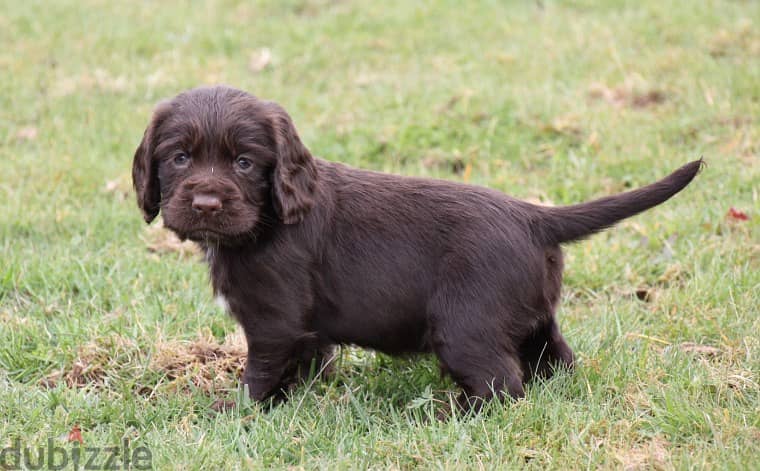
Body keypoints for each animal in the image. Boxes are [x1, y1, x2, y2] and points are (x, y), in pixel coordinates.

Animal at [132, 85, 700, 412]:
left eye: (245, 163)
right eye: (179, 158)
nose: (205, 202)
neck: (270, 217)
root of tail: (534, 217)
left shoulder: (276, 320)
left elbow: (261, 373)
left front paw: (234, 413)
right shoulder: (304, 329)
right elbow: (307, 364)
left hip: (466, 324)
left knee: (503, 387)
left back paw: (447, 413)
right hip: (533, 314)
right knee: (553, 359)